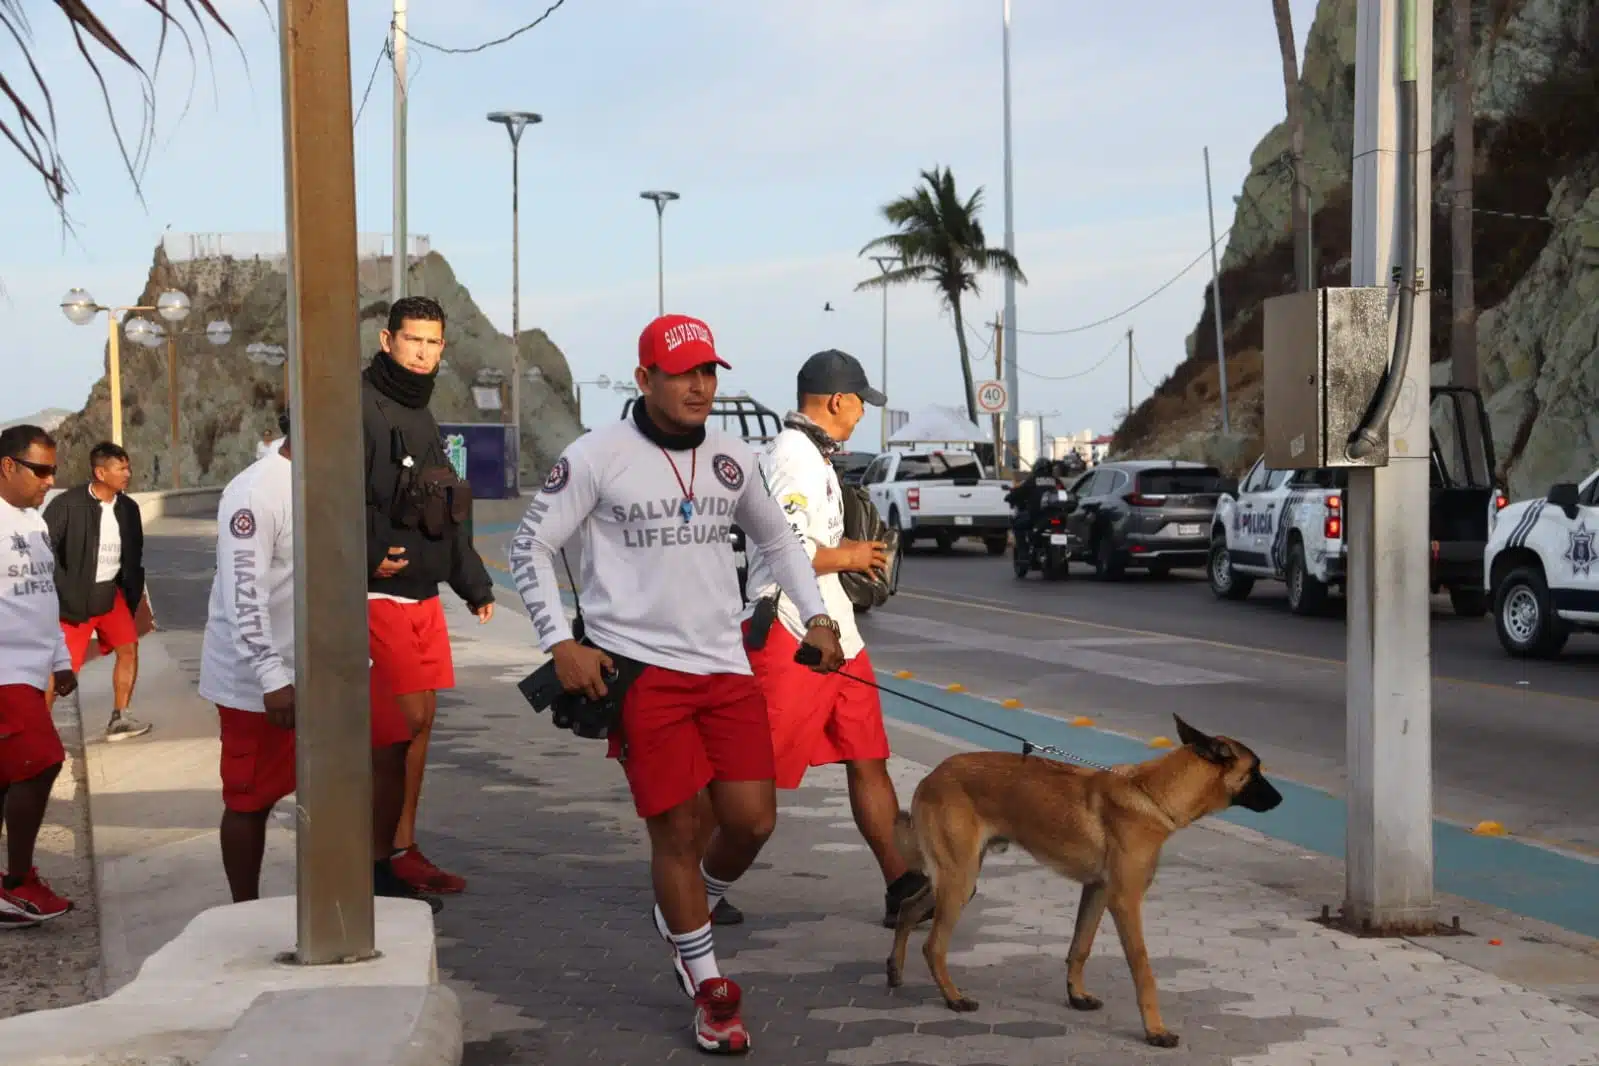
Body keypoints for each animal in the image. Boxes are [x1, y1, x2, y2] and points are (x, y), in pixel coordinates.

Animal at [882, 715, 1279, 1048]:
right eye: (1256, 769)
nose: (1281, 798)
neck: (1153, 795)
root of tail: (932, 776)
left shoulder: (1097, 891)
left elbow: (1080, 947)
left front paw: (1076, 996)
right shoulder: (1125, 901)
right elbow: (1142, 969)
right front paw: (1155, 1030)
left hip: (956, 880)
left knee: (908, 909)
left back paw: (895, 971)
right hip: (960, 881)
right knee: (933, 945)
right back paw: (953, 997)